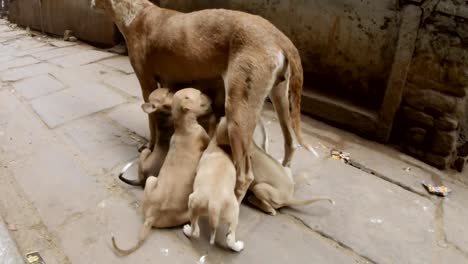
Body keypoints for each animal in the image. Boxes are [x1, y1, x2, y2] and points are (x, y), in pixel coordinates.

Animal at [90, 0, 314, 202]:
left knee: (244, 176)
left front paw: (149, 146)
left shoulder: (147, 84)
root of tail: (280, 37)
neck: (136, 13)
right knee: (290, 144)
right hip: (280, 99)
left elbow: (152, 124)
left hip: (238, 114)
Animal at [111, 88, 210, 256]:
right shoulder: (204, 136)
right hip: (185, 211)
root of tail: (151, 217)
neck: (182, 127)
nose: (210, 98)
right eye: (199, 94)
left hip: (152, 180)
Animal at [182, 117, 243, 252]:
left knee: (195, 231)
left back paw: (188, 230)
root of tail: (215, 202)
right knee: (230, 238)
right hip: (234, 212)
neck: (224, 149)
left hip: (193, 204)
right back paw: (238, 246)